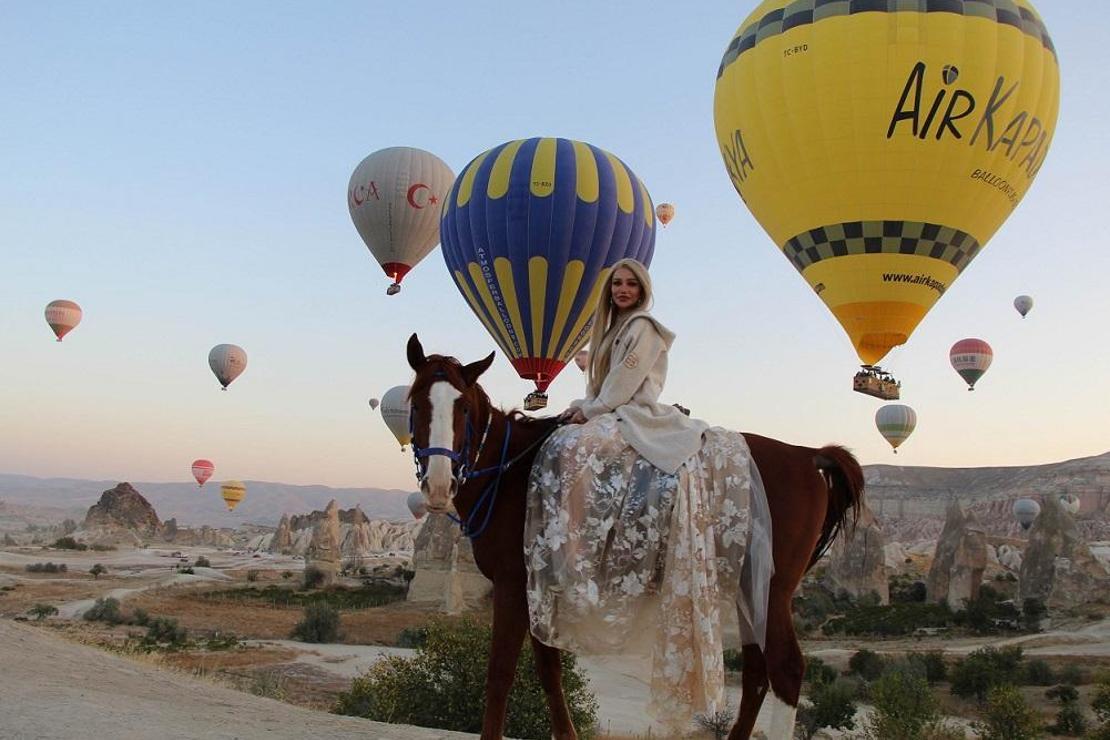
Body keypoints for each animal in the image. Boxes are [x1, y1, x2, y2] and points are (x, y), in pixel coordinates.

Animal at [404, 337, 861, 740]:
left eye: (463, 406)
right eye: (416, 403)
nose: (439, 485)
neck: (511, 472)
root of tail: (807, 455)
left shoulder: (513, 585)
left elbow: (500, 672)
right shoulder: (540, 587)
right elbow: (549, 670)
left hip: (770, 589)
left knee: (785, 669)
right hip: (747, 589)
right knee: (756, 673)